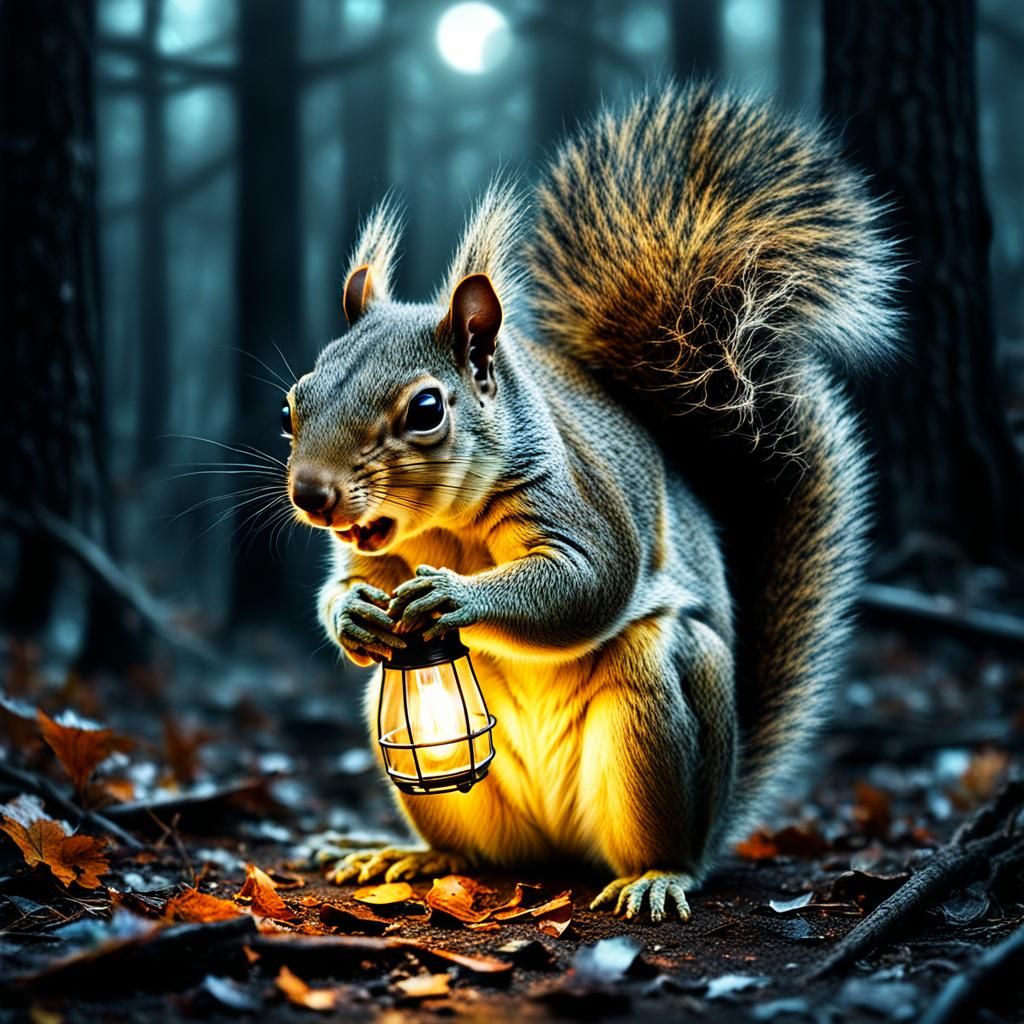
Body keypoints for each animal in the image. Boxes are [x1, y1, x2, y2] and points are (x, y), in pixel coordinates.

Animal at [282, 83, 898, 921]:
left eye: (426, 409)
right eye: (295, 401)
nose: (311, 495)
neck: (445, 529)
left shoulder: (578, 498)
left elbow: (590, 581)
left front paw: (454, 598)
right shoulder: (369, 553)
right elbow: (342, 585)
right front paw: (352, 616)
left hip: (661, 699)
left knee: (669, 840)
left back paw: (657, 875)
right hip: (429, 743)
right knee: (476, 851)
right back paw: (411, 854)